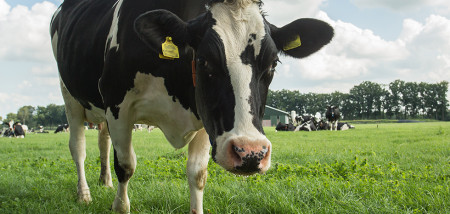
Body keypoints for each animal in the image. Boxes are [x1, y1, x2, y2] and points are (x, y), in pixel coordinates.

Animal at [50, 0, 334, 212]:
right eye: (204, 60)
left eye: (273, 63)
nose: (251, 153)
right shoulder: (117, 104)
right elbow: (126, 165)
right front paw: (119, 206)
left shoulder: (206, 119)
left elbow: (197, 174)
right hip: (69, 96)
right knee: (78, 148)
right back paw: (84, 194)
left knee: (103, 142)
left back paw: (105, 182)